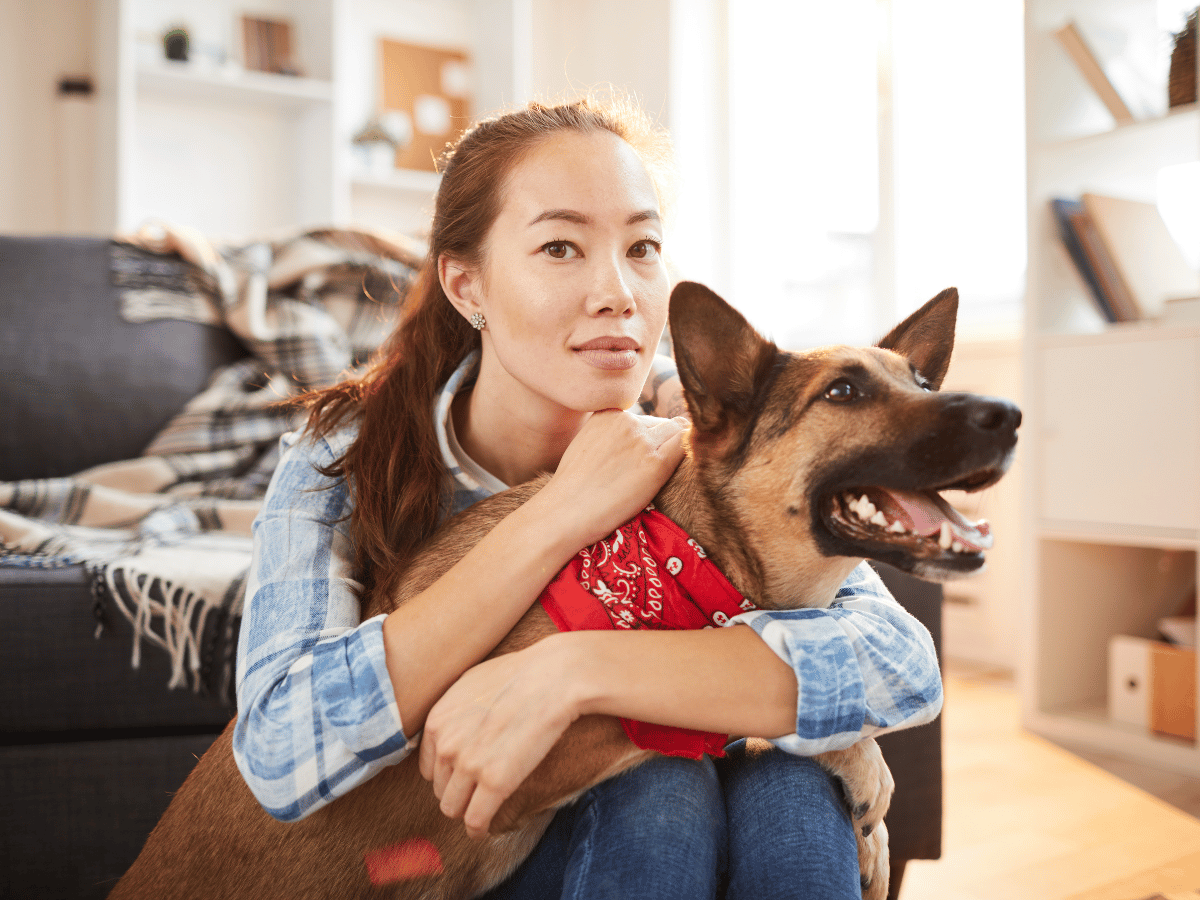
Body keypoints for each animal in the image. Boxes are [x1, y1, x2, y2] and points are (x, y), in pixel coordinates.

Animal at [108, 282, 1017, 900]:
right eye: (845, 393)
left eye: (923, 385)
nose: (1007, 415)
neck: (688, 555)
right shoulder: (526, 760)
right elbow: (678, 725)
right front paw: (863, 779)